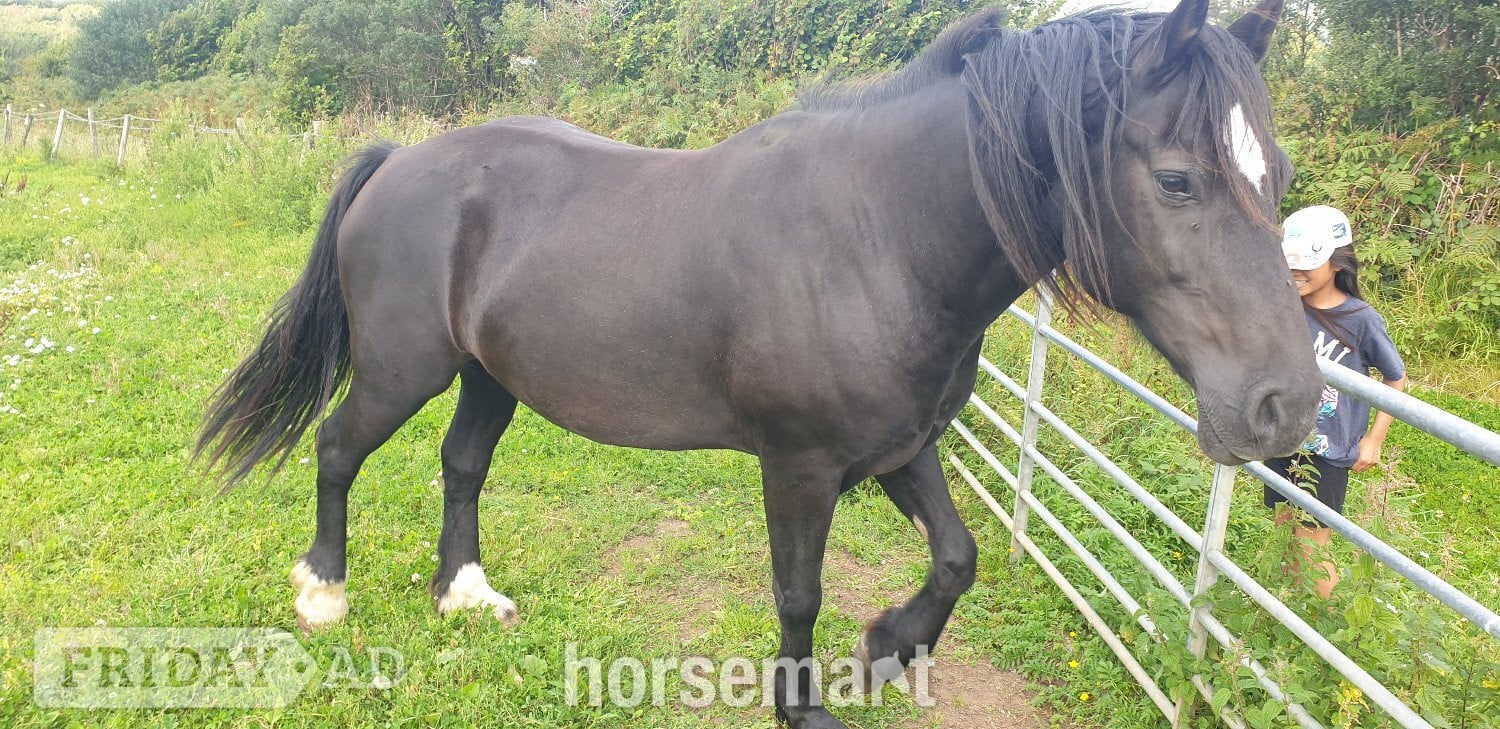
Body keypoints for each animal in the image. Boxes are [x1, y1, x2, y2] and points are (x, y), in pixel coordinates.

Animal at [198, 1, 1316, 725]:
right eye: (1176, 179)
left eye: (1279, 174)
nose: (1286, 407)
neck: (878, 236)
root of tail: (402, 160)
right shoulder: (802, 466)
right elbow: (798, 593)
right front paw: (806, 705)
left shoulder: (900, 445)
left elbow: (957, 557)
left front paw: (886, 650)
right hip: (402, 369)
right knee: (338, 450)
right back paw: (323, 594)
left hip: (489, 376)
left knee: (462, 465)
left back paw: (465, 595)